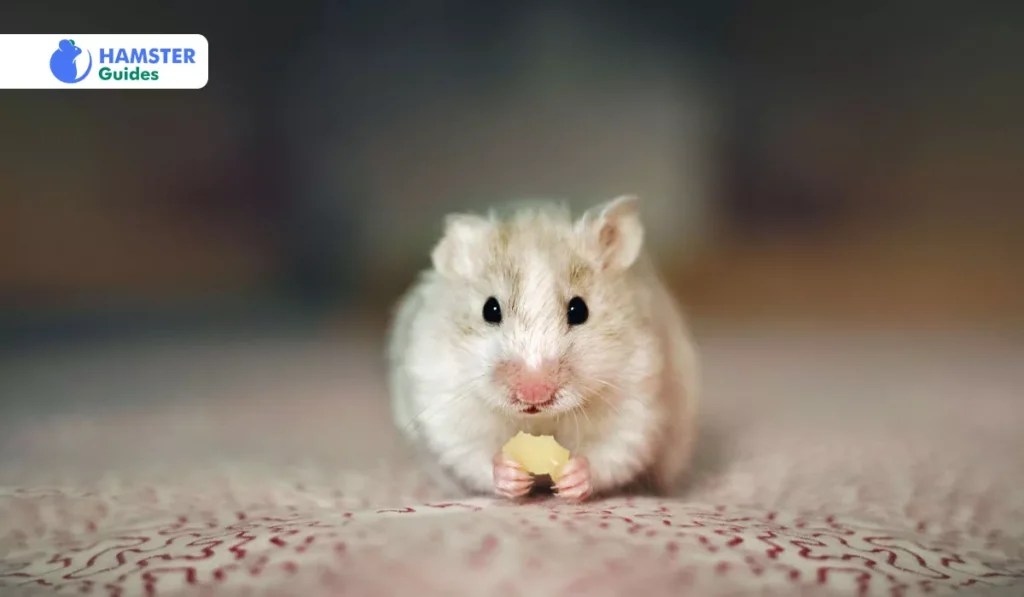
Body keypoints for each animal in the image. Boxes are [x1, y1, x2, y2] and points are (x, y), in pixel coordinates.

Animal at [387, 195, 699, 502]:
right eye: (490, 309)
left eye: (579, 310)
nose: (533, 394)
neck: (539, 422)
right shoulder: (447, 408)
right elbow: (476, 456)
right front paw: (513, 477)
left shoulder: (636, 408)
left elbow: (608, 454)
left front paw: (572, 479)